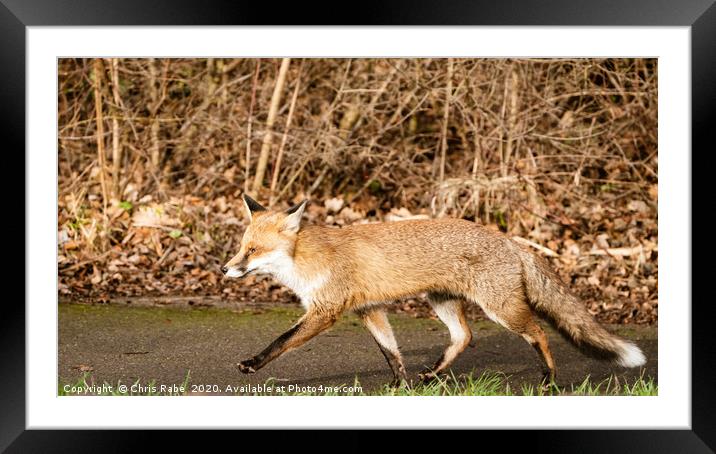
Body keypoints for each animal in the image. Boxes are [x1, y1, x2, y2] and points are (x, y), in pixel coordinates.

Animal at [221, 193, 648, 384]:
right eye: (242, 246)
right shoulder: (369, 310)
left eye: (253, 250)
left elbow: (281, 341)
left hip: (501, 309)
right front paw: (400, 385)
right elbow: (390, 352)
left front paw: (253, 364)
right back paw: (434, 374)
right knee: (465, 336)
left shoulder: (326, 311)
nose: (225, 268)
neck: (306, 260)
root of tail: (512, 241)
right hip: (442, 302)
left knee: (539, 332)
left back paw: (548, 378)